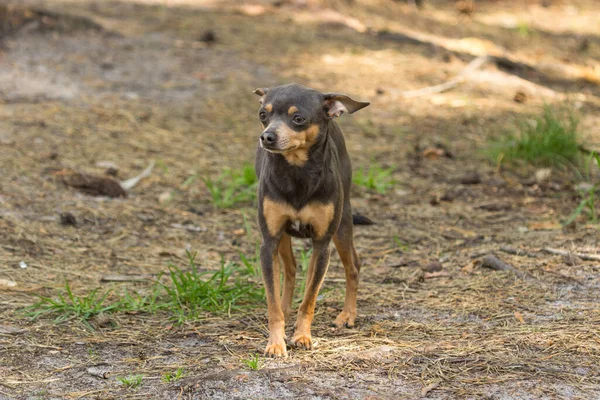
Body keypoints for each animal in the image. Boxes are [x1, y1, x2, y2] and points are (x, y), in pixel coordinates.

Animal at [251, 82, 368, 356]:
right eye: (263, 115)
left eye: (298, 118)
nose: (267, 137)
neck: (297, 173)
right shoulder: (269, 243)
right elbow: (272, 301)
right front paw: (276, 342)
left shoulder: (322, 245)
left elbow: (310, 299)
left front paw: (303, 336)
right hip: (283, 237)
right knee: (291, 269)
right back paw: (286, 308)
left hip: (342, 227)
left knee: (353, 267)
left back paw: (347, 315)